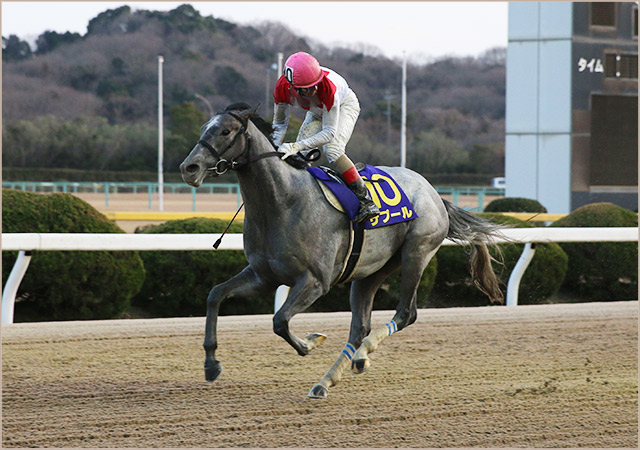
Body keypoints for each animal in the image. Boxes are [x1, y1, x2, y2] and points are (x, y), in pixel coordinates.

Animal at [180, 103, 504, 400]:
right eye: (203, 129)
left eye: (226, 131)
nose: (189, 168)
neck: (282, 202)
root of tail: (435, 193)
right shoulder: (264, 276)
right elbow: (216, 295)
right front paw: (211, 364)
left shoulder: (315, 281)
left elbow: (280, 321)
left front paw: (310, 342)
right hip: (371, 271)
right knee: (359, 326)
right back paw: (331, 377)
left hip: (417, 252)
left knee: (405, 314)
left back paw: (358, 356)